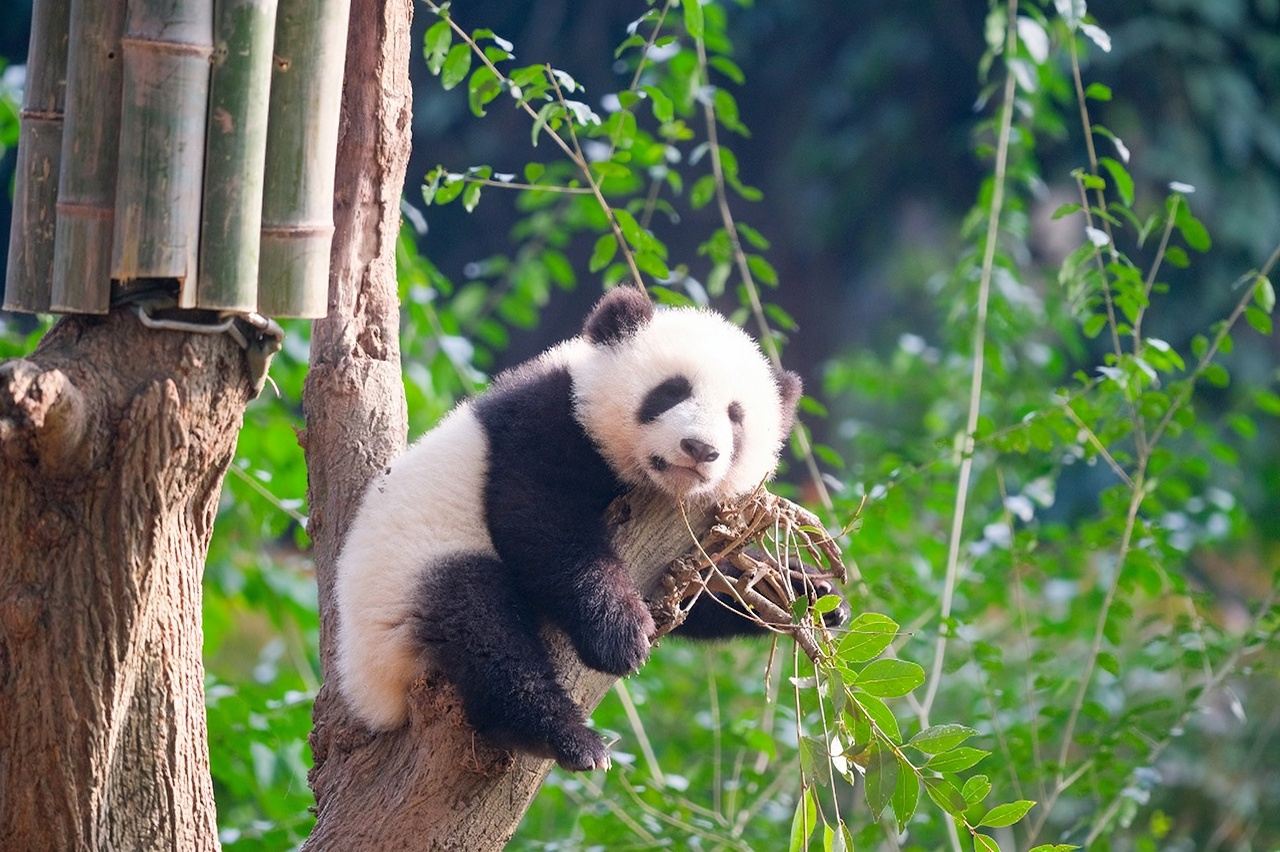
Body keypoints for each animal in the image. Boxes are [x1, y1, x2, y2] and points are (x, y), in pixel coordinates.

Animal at [334, 286, 837, 771]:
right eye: (670, 392)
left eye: (736, 415)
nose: (699, 448)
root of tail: (369, 698)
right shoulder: (546, 424)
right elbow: (542, 521)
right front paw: (620, 636)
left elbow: (706, 595)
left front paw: (810, 594)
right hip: (405, 587)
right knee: (482, 630)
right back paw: (563, 737)